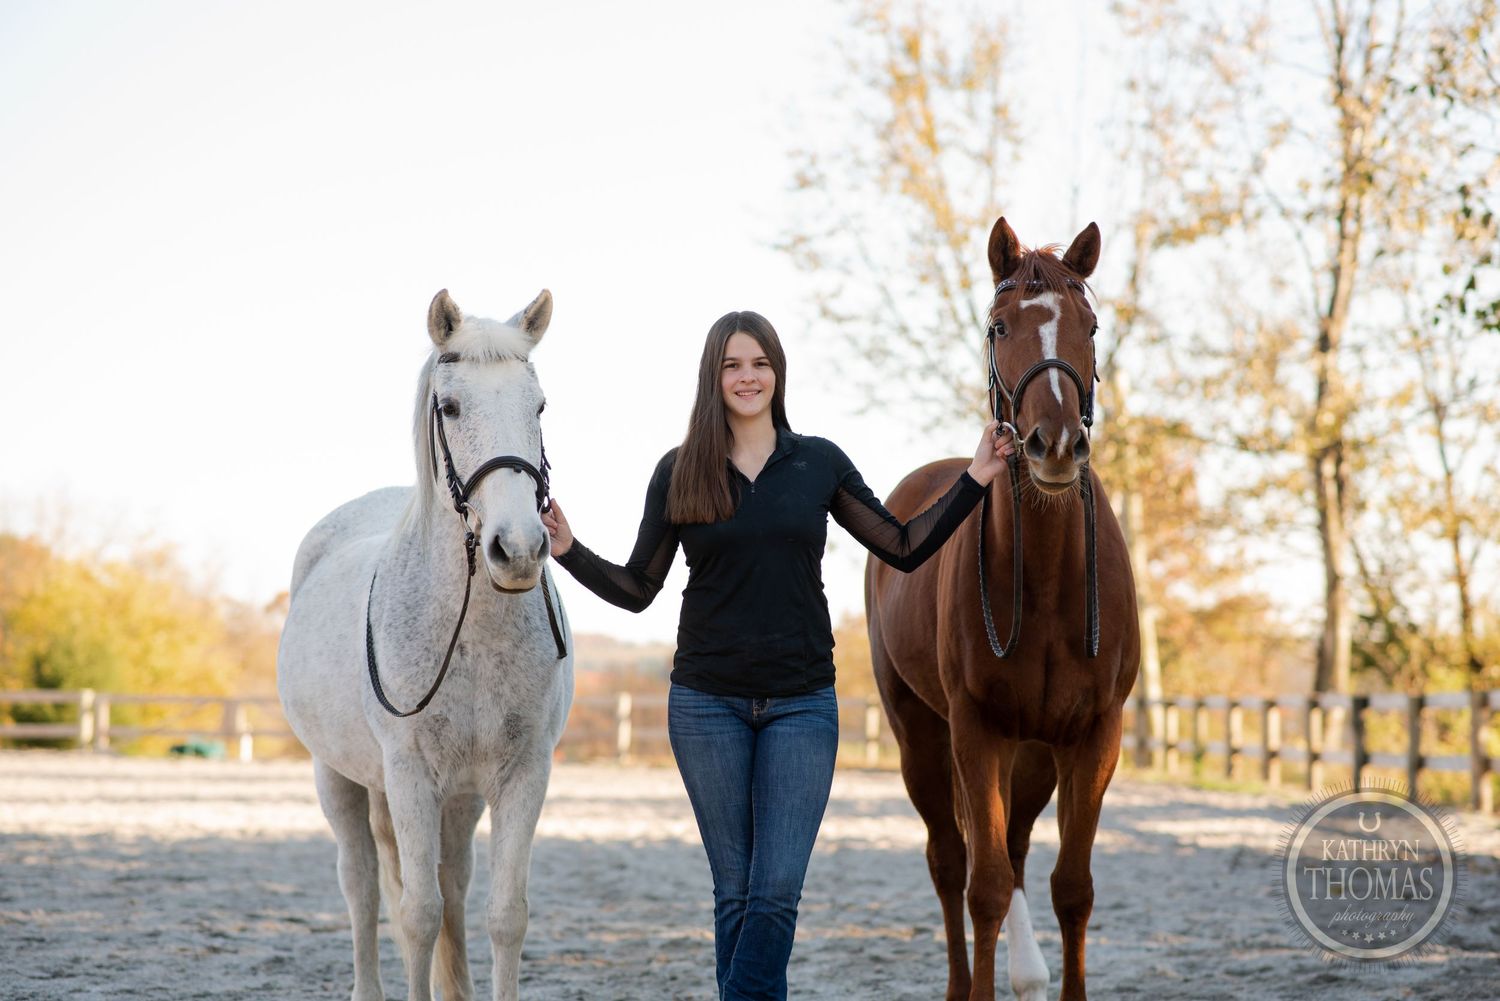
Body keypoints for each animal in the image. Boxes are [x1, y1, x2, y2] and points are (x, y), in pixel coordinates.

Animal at [277, 288, 574, 1001]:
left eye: (539, 406)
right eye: (451, 407)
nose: (518, 549)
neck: (472, 634)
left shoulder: (523, 774)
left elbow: (504, 914)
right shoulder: (409, 774)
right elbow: (416, 915)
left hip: (458, 800)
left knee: (453, 884)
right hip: (339, 778)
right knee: (362, 887)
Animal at [866, 218, 1139, 1001]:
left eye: (1090, 325)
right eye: (999, 325)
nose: (1055, 445)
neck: (1047, 576)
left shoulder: (1093, 734)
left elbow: (1071, 887)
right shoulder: (976, 730)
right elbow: (982, 886)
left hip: (1035, 751)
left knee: (1015, 847)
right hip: (921, 736)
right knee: (950, 860)